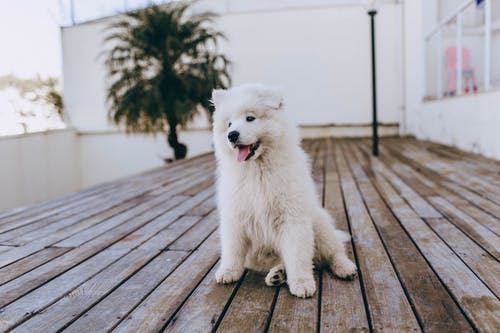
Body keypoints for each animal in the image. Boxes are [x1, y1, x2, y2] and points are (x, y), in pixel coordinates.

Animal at [211, 84, 356, 296]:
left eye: (250, 118)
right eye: (229, 124)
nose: (232, 135)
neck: (258, 170)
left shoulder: (293, 218)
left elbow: (298, 256)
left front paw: (302, 283)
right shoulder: (235, 217)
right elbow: (232, 250)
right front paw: (228, 272)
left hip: (320, 227)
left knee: (333, 253)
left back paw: (345, 268)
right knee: (281, 261)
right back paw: (276, 275)